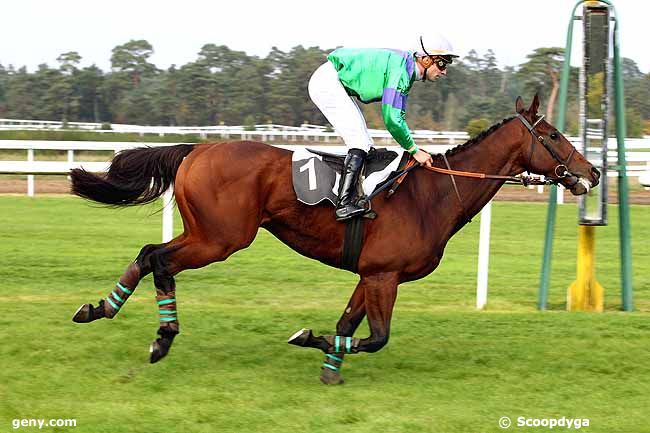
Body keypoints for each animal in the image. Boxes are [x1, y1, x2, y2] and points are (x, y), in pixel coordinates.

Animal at [71, 96, 596, 384]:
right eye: (552, 134)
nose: (592, 172)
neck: (432, 195)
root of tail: (197, 150)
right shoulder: (384, 274)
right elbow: (378, 337)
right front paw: (310, 340)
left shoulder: (372, 274)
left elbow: (348, 324)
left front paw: (327, 363)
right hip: (220, 239)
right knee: (160, 259)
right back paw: (160, 338)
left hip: (205, 231)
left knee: (147, 254)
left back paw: (98, 308)